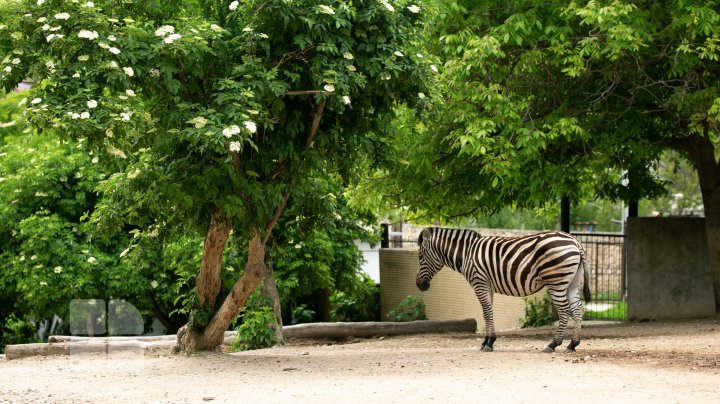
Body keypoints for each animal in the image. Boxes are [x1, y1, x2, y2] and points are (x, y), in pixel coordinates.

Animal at [416, 227, 592, 354]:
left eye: (420, 256)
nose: (419, 285)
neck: (466, 254)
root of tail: (575, 241)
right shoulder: (487, 285)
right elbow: (487, 313)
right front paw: (486, 341)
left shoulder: (479, 282)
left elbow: (487, 312)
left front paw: (489, 342)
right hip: (571, 283)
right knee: (578, 310)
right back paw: (573, 344)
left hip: (556, 282)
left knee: (564, 311)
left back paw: (553, 344)